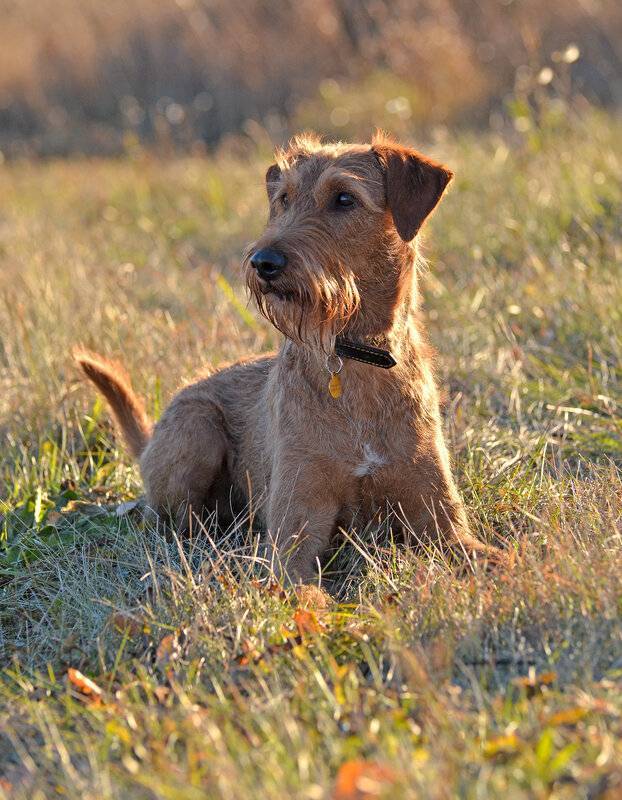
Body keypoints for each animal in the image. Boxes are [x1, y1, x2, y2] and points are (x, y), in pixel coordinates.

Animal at [79, 131, 498, 580]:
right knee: (172, 520)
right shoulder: (293, 539)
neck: (358, 359)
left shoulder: (445, 526)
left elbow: (500, 558)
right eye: (283, 198)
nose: (263, 262)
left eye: (344, 198)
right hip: (197, 426)